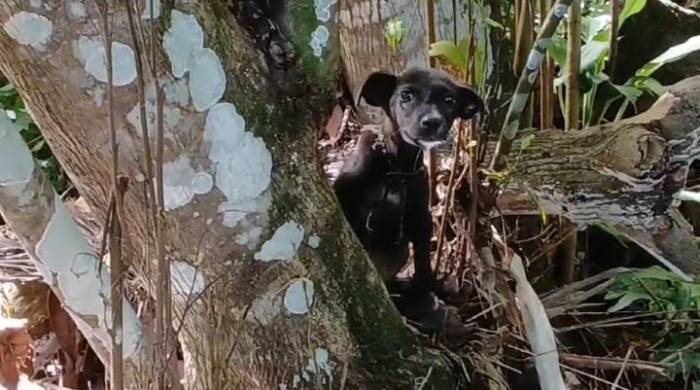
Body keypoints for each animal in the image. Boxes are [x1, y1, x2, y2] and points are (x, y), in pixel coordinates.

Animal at [336, 66, 484, 322]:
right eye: (406, 95)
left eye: (449, 100)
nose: (432, 122)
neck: (397, 167)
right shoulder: (345, 194)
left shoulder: (421, 217)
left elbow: (424, 264)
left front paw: (424, 295)